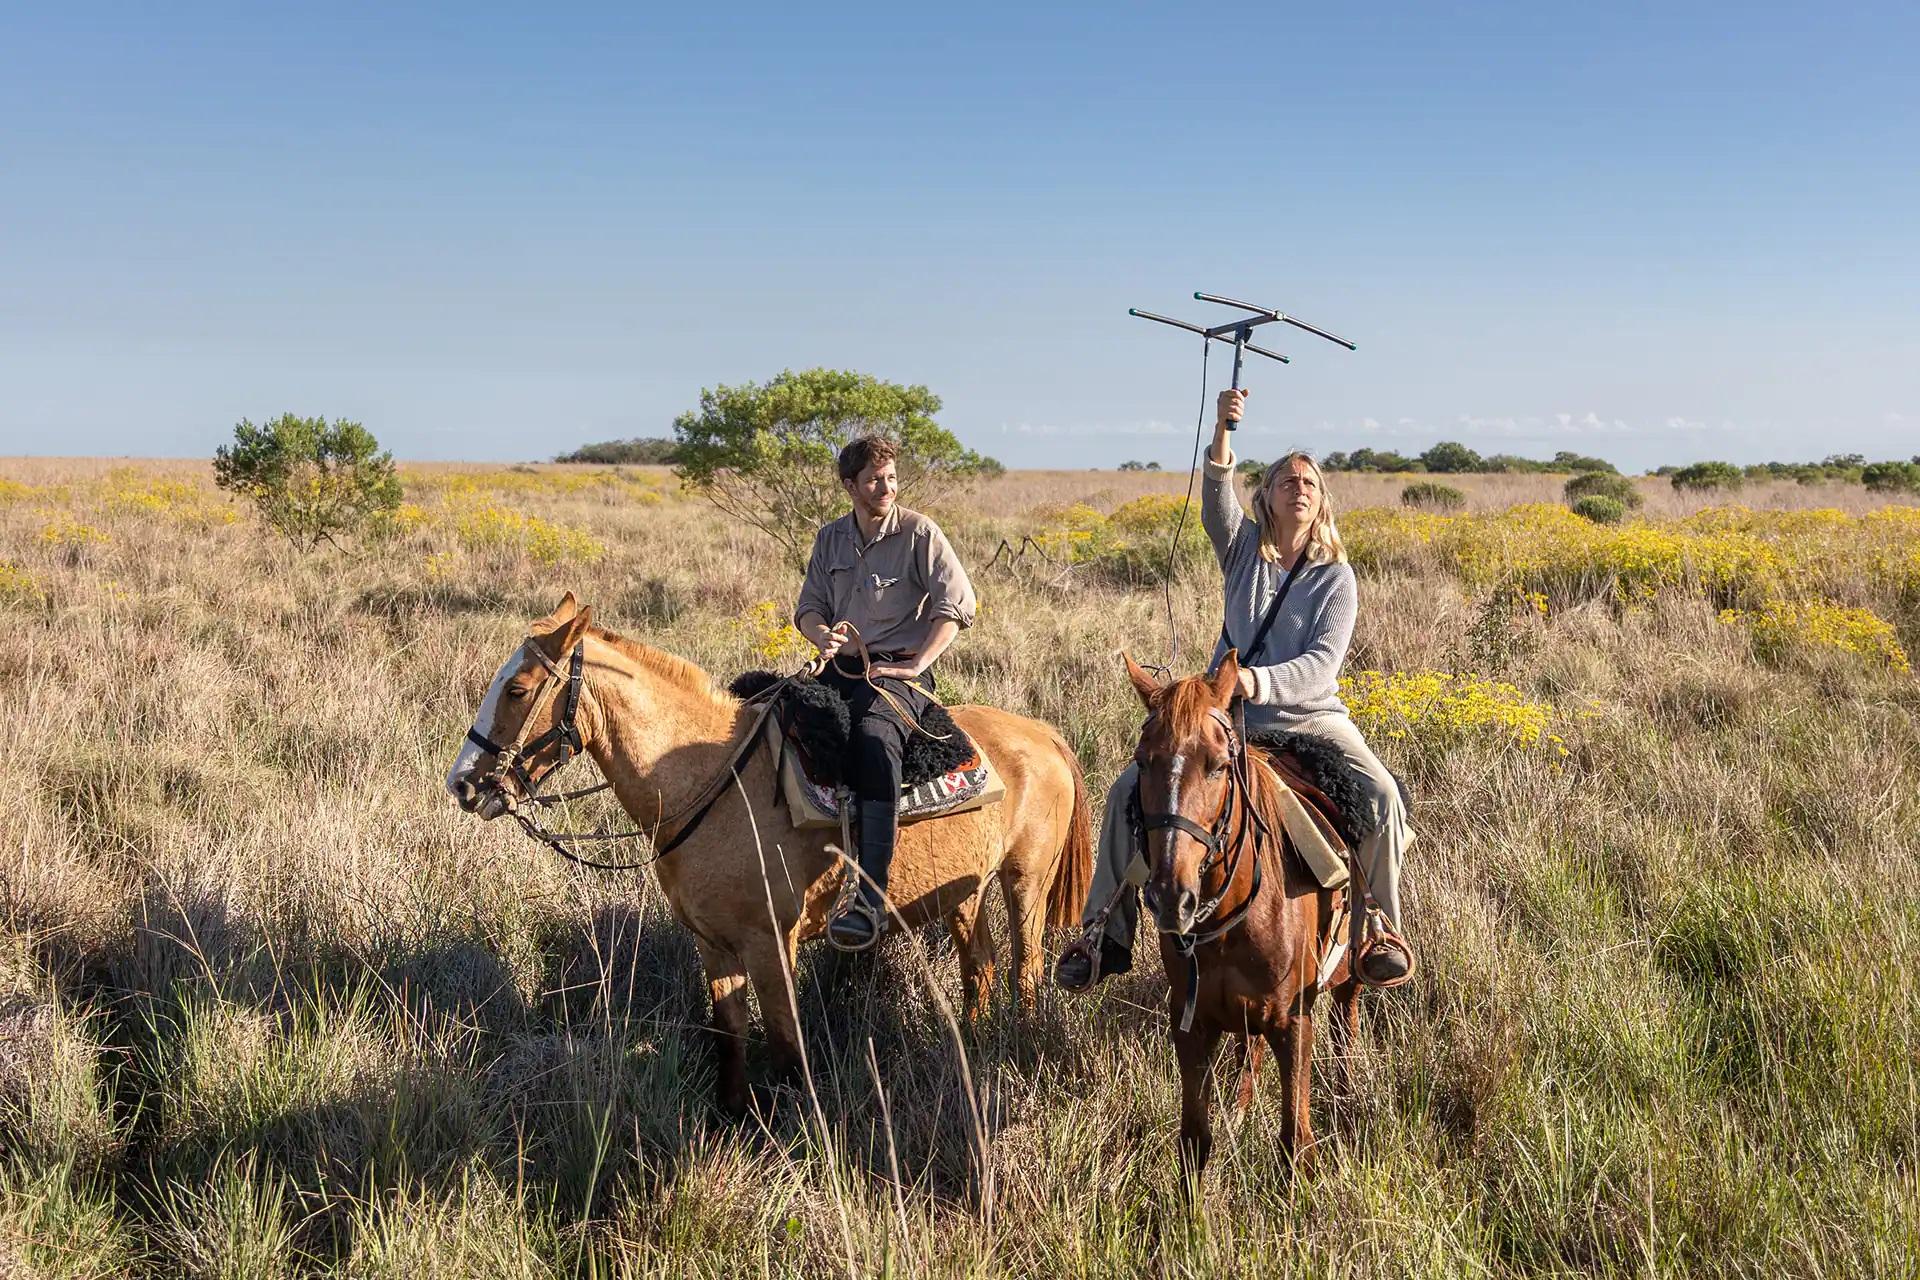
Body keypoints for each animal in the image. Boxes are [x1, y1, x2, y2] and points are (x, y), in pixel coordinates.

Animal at [439, 594, 1090, 1113]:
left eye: (518, 689)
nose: (464, 784)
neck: (711, 778)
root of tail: (1043, 733)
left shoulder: (771, 943)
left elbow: (785, 1043)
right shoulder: (713, 942)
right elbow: (729, 1034)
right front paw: (731, 1121)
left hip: (1024, 882)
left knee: (1025, 969)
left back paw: (1017, 1050)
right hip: (965, 891)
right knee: (979, 966)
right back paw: (974, 1045)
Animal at [1121, 644, 1359, 1189]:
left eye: (1218, 765)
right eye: (1143, 762)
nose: (1171, 897)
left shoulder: (1294, 1022)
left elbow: (1296, 1142)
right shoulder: (1191, 1025)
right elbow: (1194, 1140)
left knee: (1348, 1019)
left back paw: (1349, 1090)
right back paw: (1241, 1104)